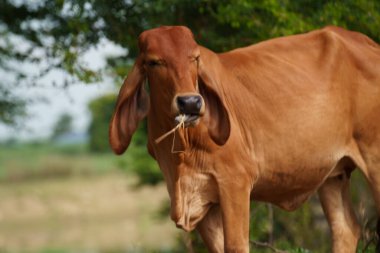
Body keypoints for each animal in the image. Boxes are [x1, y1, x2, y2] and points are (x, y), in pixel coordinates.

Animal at [109, 26, 380, 253]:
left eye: (195, 58)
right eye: (154, 62)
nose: (191, 103)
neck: (181, 155)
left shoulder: (235, 183)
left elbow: (237, 245)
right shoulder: (203, 200)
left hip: (373, 160)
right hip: (333, 175)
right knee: (345, 229)